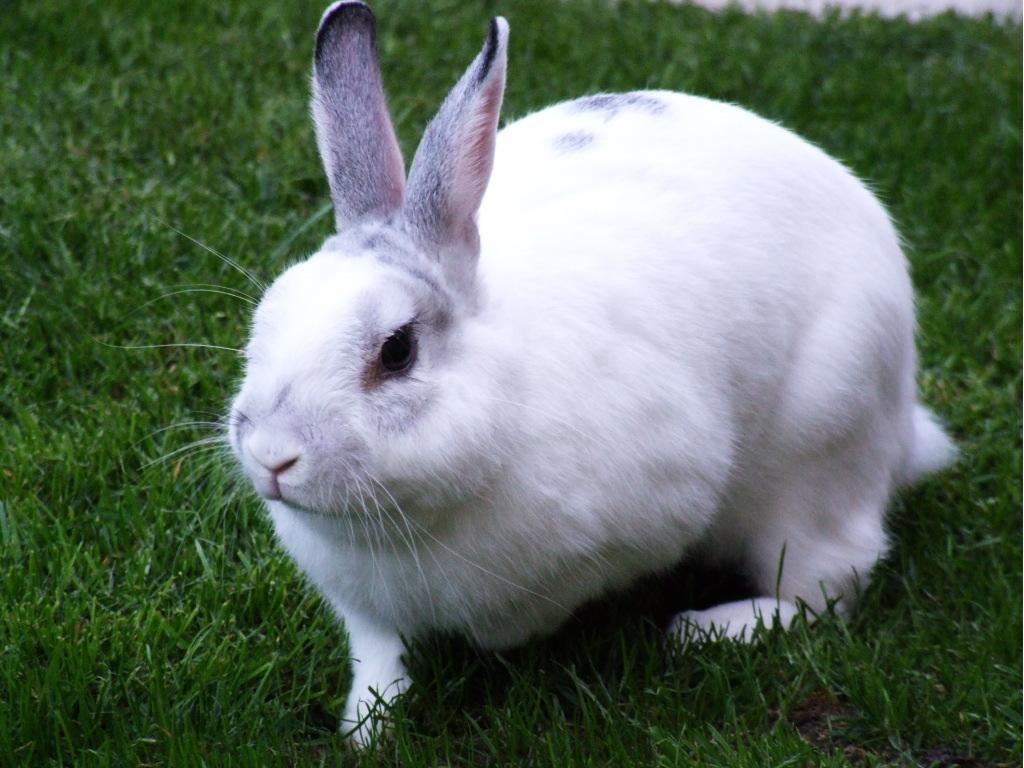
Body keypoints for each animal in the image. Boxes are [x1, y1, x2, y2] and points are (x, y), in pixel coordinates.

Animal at [226, 0, 956, 747]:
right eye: (267, 315)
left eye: (397, 351)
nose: (273, 456)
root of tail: (902, 423)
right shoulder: (363, 607)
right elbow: (378, 659)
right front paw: (366, 730)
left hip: (820, 459)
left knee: (829, 583)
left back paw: (709, 628)